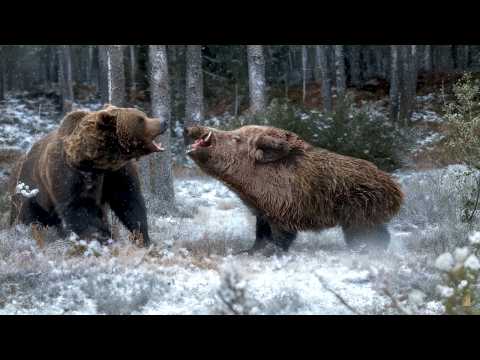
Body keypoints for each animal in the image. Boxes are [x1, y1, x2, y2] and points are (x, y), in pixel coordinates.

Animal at [8, 103, 167, 245]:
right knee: (31, 218)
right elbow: (80, 209)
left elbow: (129, 201)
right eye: (141, 119)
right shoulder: (69, 175)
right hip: (32, 193)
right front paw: (103, 237)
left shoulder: (116, 173)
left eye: (143, 115)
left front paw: (142, 238)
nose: (163, 122)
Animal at [186, 125, 404, 255]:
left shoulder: (282, 212)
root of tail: (397, 191)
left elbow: (281, 239)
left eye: (236, 138)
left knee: (368, 237)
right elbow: (259, 235)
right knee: (384, 235)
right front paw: (247, 252)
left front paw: (273, 254)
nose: (191, 127)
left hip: (359, 218)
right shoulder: (262, 213)